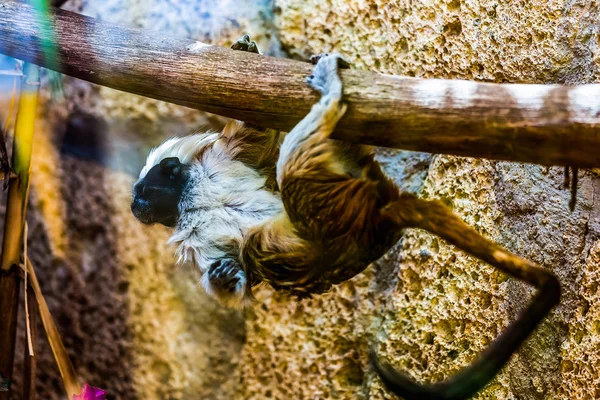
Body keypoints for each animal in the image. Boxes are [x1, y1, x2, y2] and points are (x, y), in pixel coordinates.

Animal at [132, 36, 564, 400]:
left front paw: (246, 51)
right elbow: (229, 267)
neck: (193, 195)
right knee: (270, 226)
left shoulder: (224, 159)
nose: (136, 207)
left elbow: (253, 138)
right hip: (338, 205)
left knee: (287, 179)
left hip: (332, 206)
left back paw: (328, 94)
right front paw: (226, 277)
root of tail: (381, 220)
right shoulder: (194, 238)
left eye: (142, 193)